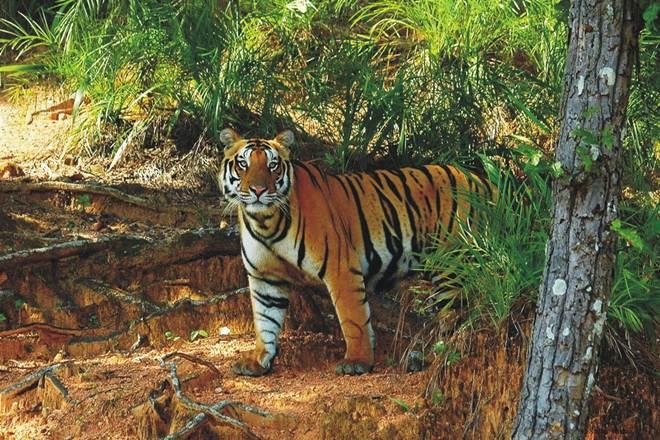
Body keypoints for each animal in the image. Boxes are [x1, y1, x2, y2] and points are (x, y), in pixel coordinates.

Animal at [218, 128, 494, 376]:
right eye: (243, 164)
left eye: (273, 165)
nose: (258, 190)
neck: (265, 222)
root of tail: (482, 180)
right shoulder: (265, 278)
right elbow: (265, 320)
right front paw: (259, 360)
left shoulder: (340, 268)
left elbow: (353, 319)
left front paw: (357, 362)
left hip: (453, 265)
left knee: (457, 318)